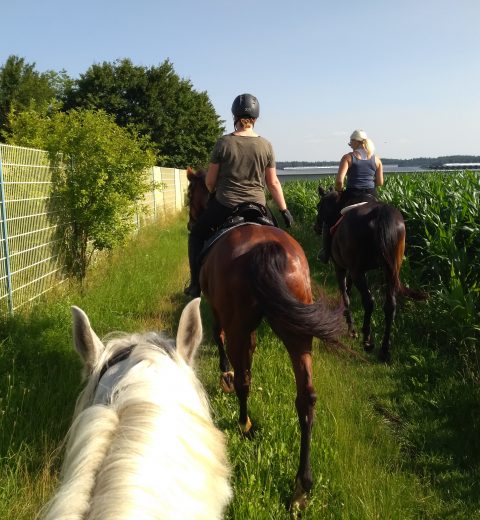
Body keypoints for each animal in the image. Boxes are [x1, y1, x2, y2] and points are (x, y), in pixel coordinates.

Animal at [185, 171, 344, 512]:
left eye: (191, 194)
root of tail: (265, 248)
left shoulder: (218, 310)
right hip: (297, 331)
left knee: (244, 380)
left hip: (239, 322)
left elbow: (220, 342)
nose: (191, 224)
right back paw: (301, 487)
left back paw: (244, 424)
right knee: (306, 397)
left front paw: (225, 374)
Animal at [316, 186, 428, 362]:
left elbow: (345, 296)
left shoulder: (341, 267)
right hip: (390, 271)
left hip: (358, 271)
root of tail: (380, 212)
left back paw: (367, 340)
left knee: (369, 301)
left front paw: (351, 330)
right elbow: (348, 290)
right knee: (390, 305)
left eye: (318, 206)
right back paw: (384, 350)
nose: (316, 227)